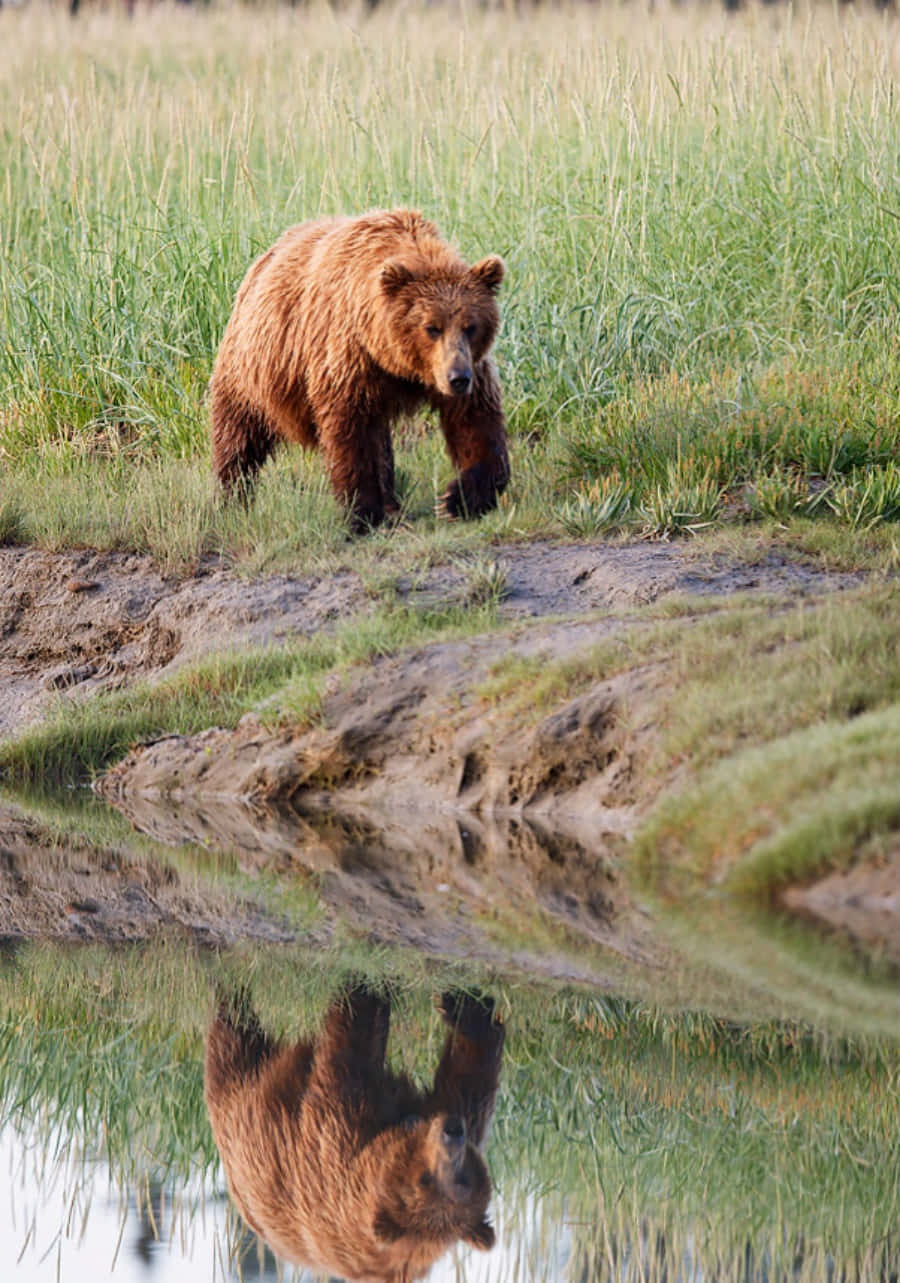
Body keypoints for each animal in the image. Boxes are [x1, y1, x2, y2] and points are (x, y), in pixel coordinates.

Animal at [204, 983, 505, 1283]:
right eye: (461, 1178)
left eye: (433, 1179)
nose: (451, 1132)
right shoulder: (452, 1114)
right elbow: (468, 1078)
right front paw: (468, 1011)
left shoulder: (335, 1145)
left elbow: (347, 1048)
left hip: (240, 1100)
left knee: (231, 1045)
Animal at [209, 208, 510, 534]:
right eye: (431, 328)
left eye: (471, 326)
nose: (457, 379)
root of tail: (261, 261)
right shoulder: (349, 357)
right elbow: (351, 433)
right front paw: (363, 514)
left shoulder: (464, 368)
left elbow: (475, 423)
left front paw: (457, 500)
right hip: (251, 369)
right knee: (238, 435)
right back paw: (230, 500)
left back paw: (392, 502)